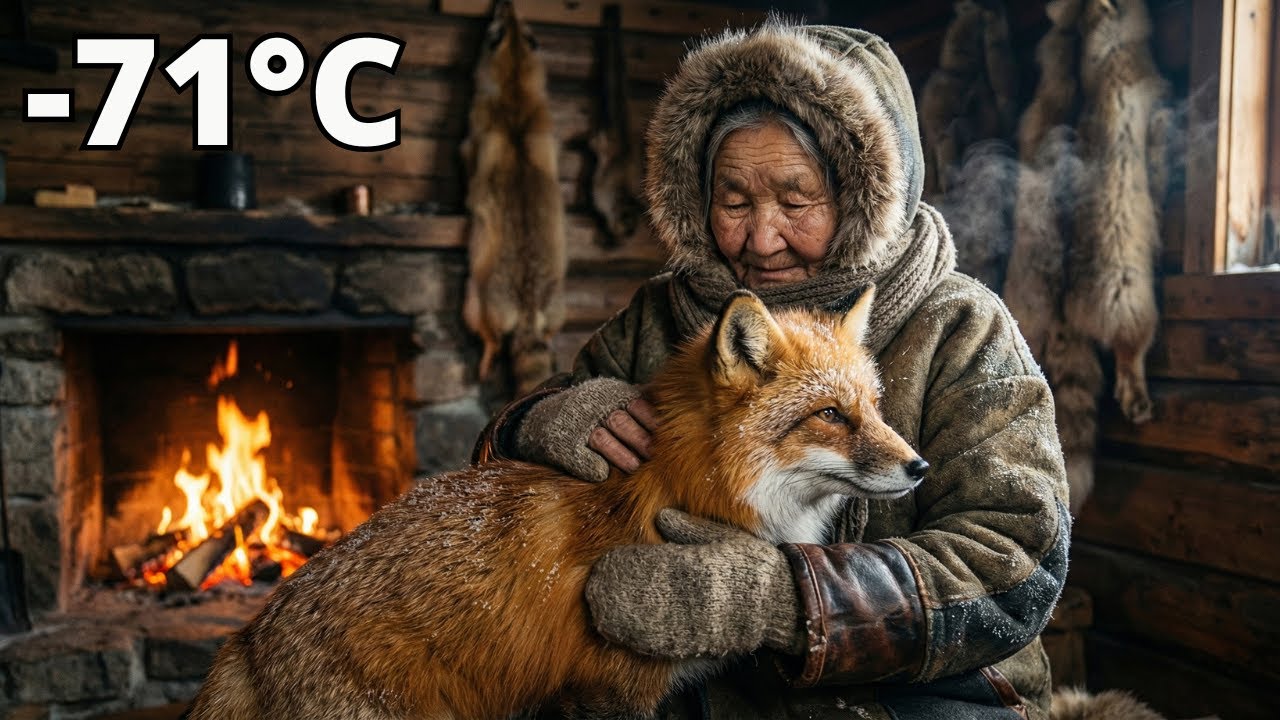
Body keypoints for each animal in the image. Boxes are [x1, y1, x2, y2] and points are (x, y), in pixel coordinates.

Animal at [184, 287, 927, 720]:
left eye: (873, 407)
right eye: (829, 415)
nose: (918, 467)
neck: (685, 489)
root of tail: (247, 639)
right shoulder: (605, 689)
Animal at [462, 0, 567, 395]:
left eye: (496, 24)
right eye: (520, 23)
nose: (503, 2)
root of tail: (528, 307)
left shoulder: (475, 133)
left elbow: (466, 155)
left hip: (476, 299)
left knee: (489, 335)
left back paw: (487, 355)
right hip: (559, 305)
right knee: (551, 331)